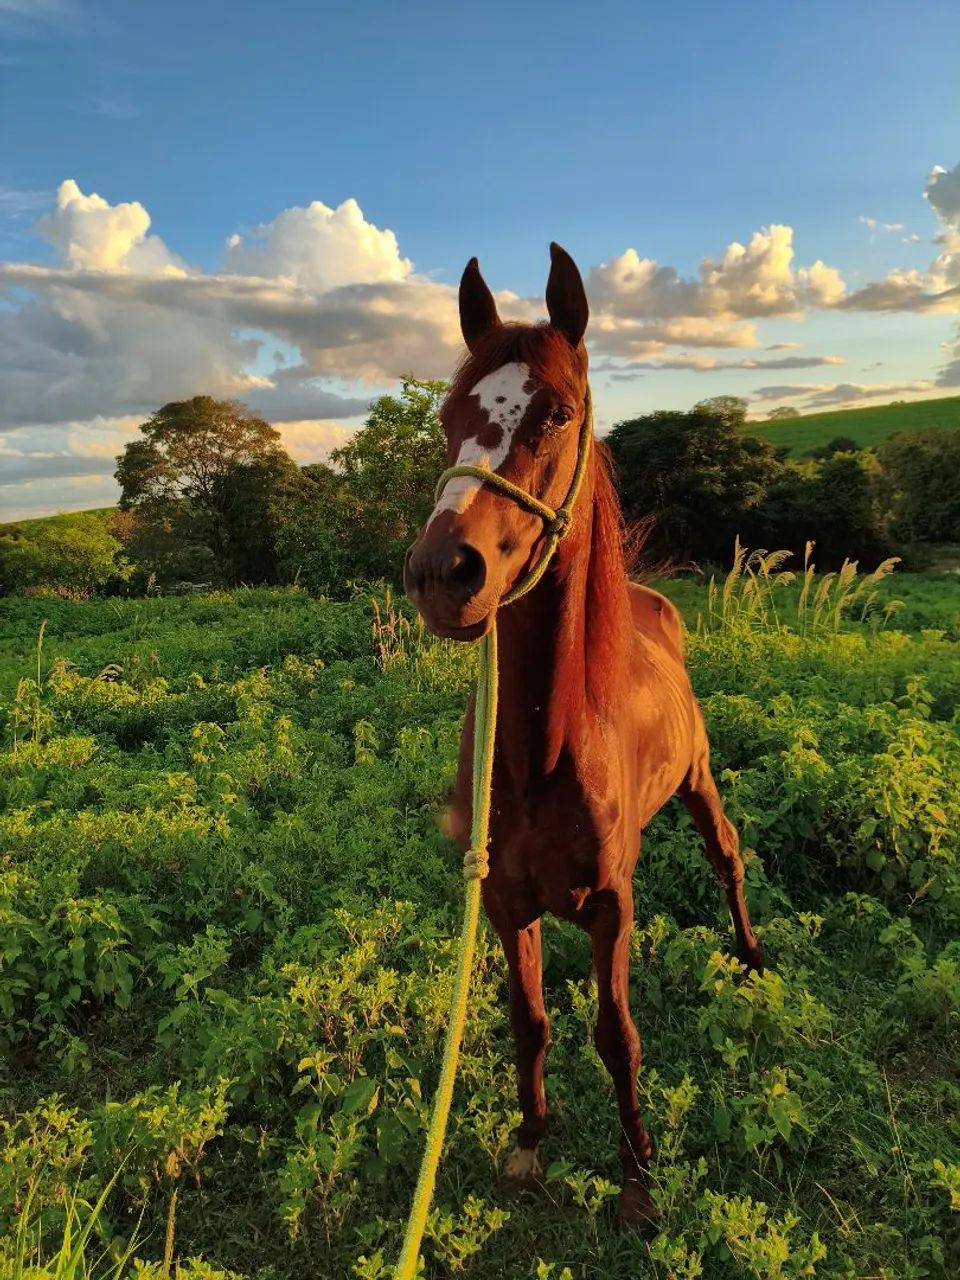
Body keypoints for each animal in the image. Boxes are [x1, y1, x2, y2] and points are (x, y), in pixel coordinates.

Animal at [403, 243, 763, 1225]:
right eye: (448, 418)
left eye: (557, 412)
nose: (442, 572)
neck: (543, 753)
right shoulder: (502, 902)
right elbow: (529, 1022)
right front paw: (530, 1139)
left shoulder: (612, 906)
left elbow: (617, 1035)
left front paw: (638, 1173)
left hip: (699, 780)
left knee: (727, 854)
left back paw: (753, 955)